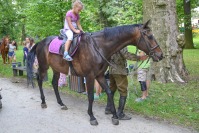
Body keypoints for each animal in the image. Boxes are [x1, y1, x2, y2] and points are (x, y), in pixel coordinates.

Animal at [26, 20, 163, 125]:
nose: (160, 55)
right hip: (44, 67)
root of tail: (41, 42)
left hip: (56, 69)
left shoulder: (100, 75)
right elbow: (91, 96)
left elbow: (109, 92)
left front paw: (114, 116)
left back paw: (61, 104)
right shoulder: (90, 76)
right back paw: (43, 102)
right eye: (150, 36)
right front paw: (92, 117)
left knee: (54, 83)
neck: (99, 46)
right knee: (39, 81)